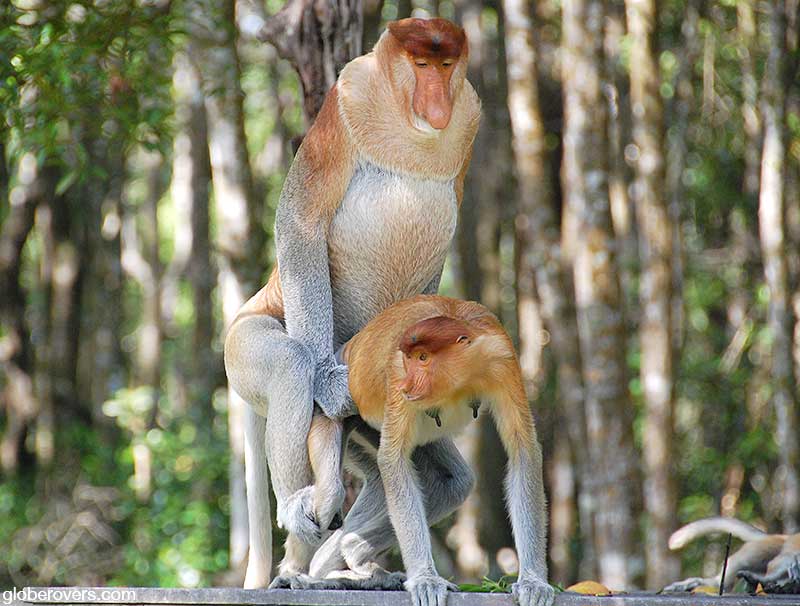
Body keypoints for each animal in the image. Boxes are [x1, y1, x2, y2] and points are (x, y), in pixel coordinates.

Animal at [222, 17, 480, 590]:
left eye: (447, 65)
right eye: (421, 65)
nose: (436, 103)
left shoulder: (469, 116)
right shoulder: (347, 101)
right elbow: (302, 222)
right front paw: (327, 383)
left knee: (445, 478)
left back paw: (346, 565)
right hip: (244, 344)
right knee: (290, 363)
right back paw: (301, 540)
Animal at [276, 295, 554, 606]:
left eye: (423, 358)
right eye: (409, 359)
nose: (409, 384)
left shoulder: (502, 361)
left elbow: (523, 450)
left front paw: (533, 583)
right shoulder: (397, 376)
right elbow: (392, 459)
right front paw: (425, 580)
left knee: (452, 484)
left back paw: (353, 555)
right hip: (334, 404)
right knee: (328, 496)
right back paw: (298, 575)